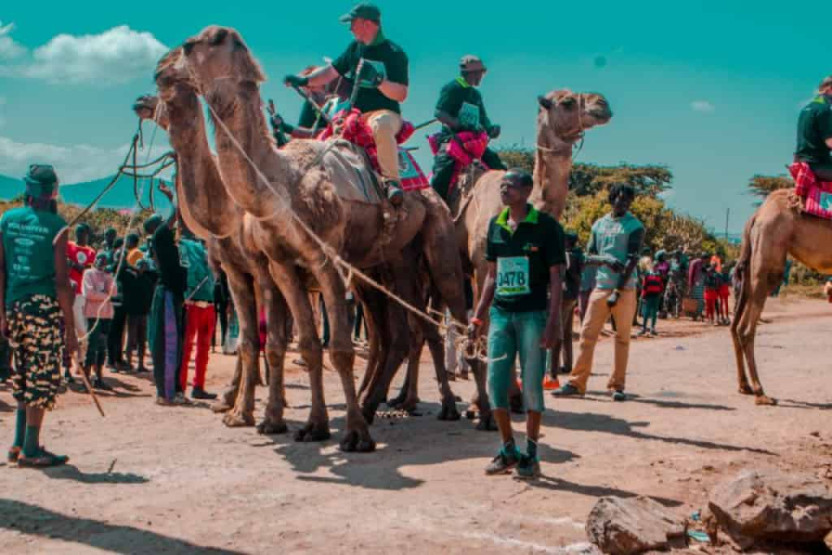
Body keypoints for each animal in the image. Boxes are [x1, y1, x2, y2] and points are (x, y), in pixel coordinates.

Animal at [181, 26, 480, 450]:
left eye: (218, 38)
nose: (184, 49)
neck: (282, 183)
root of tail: (428, 190)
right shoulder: (283, 266)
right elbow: (308, 344)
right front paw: (309, 425)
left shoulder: (326, 261)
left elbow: (338, 349)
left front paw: (354, 434)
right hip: (391, 263)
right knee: (403, 333)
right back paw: (384, 404)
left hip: (438, 246)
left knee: (451, 317)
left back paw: (467, 410)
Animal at [732, 189, 832, 406]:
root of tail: (756, 215)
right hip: (770, 250)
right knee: (746, 329)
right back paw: (760, 392)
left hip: (754, 258)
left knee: (736, 325)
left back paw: (745, 386)